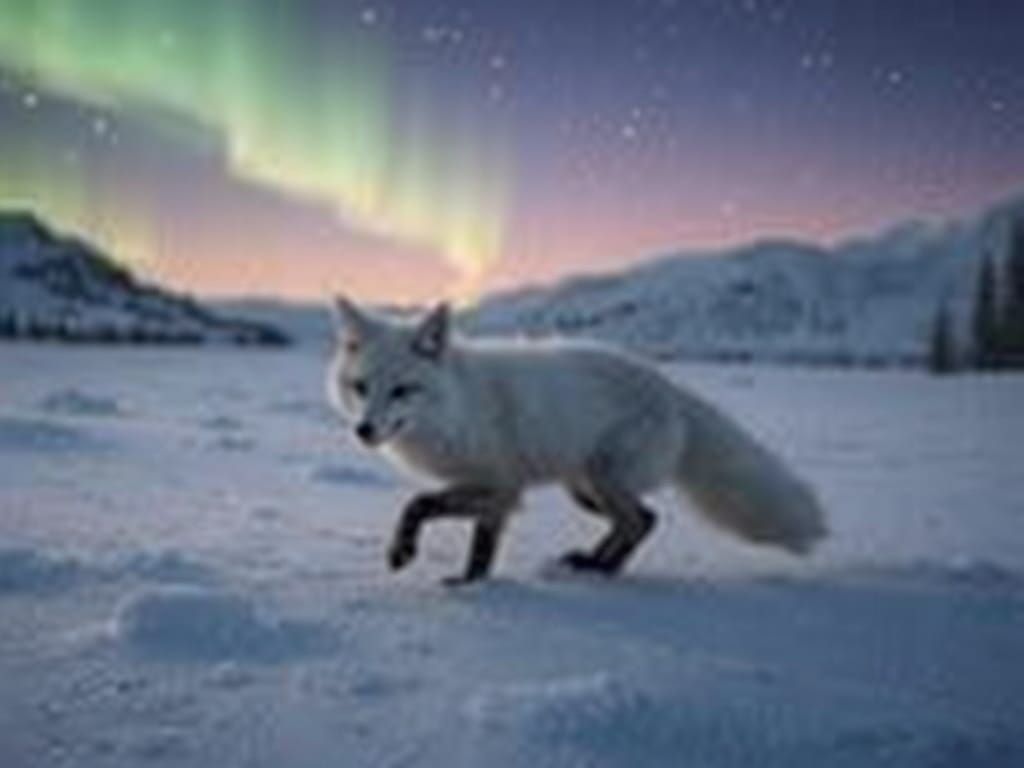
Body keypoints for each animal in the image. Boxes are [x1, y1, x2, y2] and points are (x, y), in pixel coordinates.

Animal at [326, 295, 827, 585]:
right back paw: (596, 563)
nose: (364, 430)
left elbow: (418, 504)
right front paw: (471, 582)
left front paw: (413, 557)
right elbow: (478, 543)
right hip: (583, 489)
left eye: (402, 390)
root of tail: (671, 388)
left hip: (602, 479)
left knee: (640, 520)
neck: (460, 405)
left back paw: (600, 569)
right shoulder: (501, 492)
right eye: (361, 387)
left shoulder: (500, 484)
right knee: (644, 519)